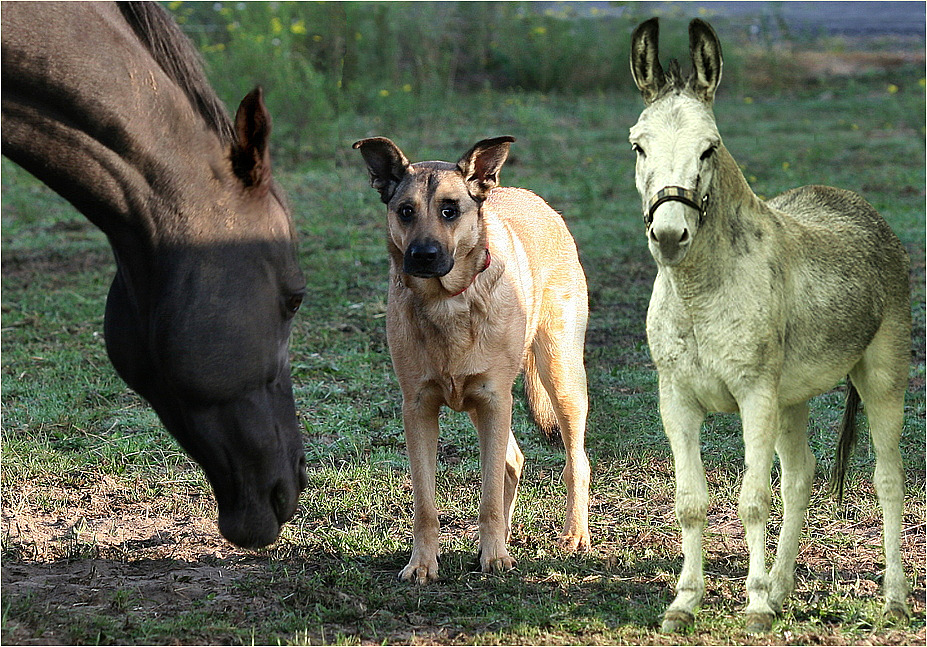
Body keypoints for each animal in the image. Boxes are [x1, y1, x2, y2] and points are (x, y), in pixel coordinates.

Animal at [352, 137, 592, 584]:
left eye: (450, 210)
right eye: (405, 211)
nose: (423, 255)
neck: (446, 300)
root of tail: (538, 201)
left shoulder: (495, 399)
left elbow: (489, 495)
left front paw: (494, 558)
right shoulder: (419, 407)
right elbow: (425, 504)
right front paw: (423, 562)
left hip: (562, 377)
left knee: (576, 462)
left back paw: (573, 534)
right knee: (513, 461)